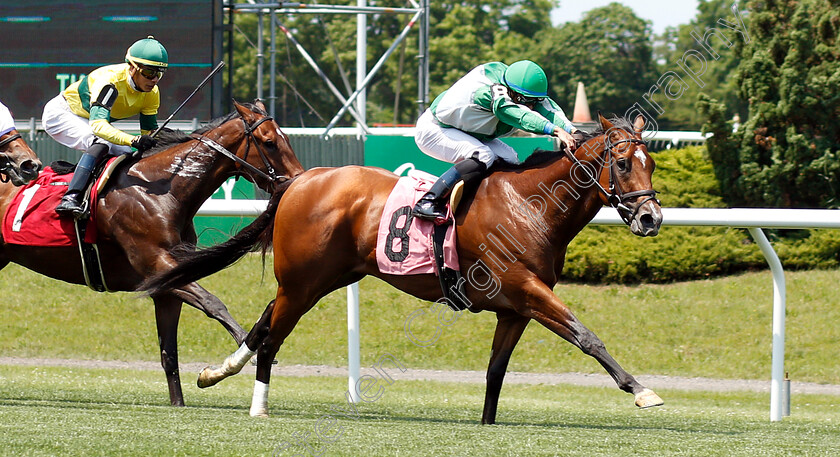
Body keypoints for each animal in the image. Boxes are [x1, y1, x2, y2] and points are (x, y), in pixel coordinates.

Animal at [0, 100, 302, 406]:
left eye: (287, 138)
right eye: (269, 142)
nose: (297, 180)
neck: (162, 191)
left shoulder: (167, 285)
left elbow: (169, 353)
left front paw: (179, 403)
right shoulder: (157, 266)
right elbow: (213, 302)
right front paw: (246, 346)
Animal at [148, 113, 668, 420]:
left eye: (652, 163)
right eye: (623, 163)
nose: (651, 218)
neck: (529, 203)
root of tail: (301, 180)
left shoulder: (515, 307)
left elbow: (496, 370)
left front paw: (487, 422)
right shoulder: (527, 287)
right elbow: (586, 335)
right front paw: (641, 390)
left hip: (324, 278)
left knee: (262, 323)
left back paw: (215, 372)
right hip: (303, 281)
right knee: (273, 336)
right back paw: (259, 406)